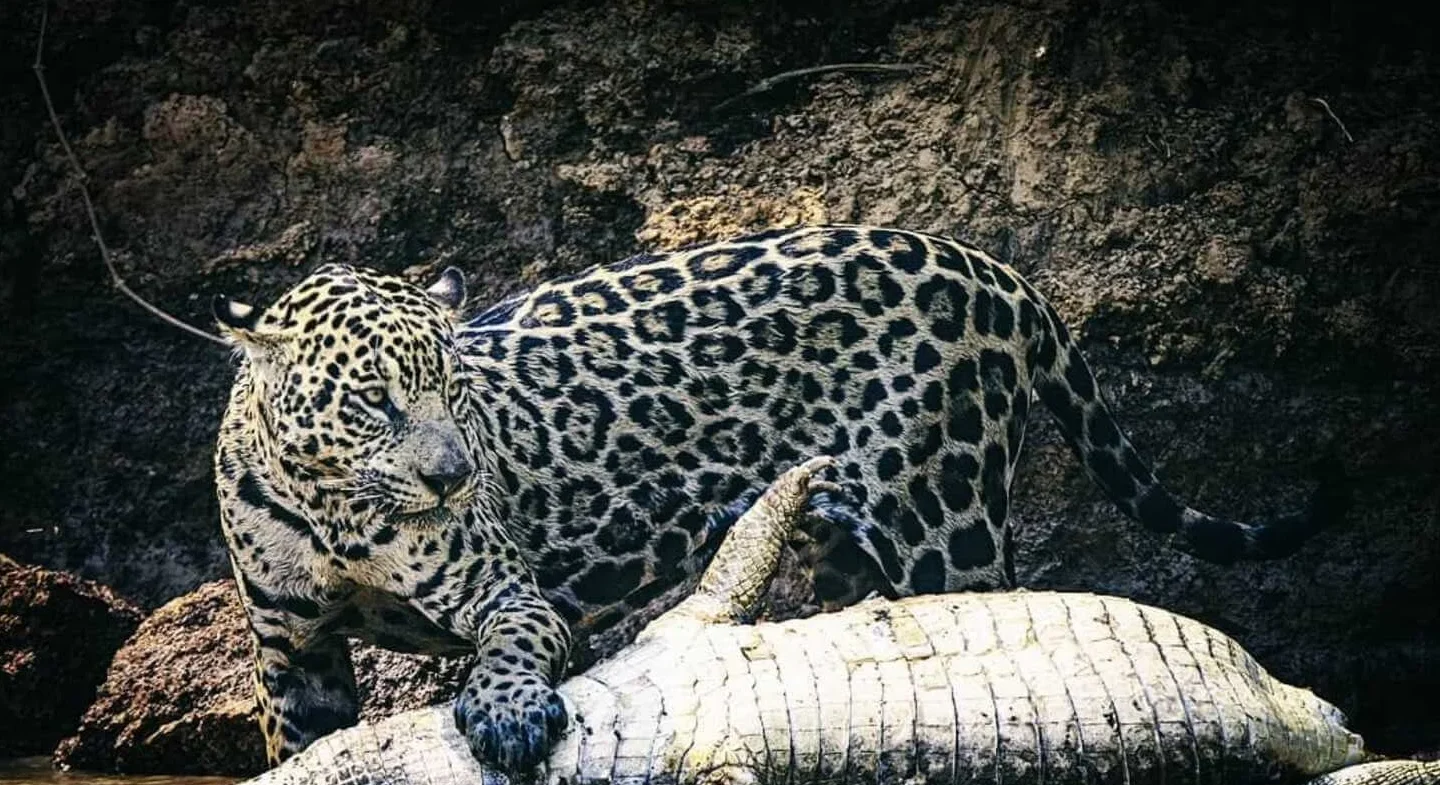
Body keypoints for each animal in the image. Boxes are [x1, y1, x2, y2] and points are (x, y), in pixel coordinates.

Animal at [212, 224, 1343, 775]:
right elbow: (297, 741)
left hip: (950, 522)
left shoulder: (508, 590)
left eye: (453, 388)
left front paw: (506, 714)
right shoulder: (293, 653)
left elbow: (510, 644)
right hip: (851, 545)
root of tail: (999, 271)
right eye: (376, 399)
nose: (453, 476)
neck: (338, 515)